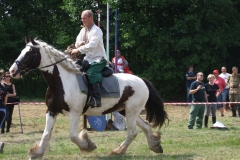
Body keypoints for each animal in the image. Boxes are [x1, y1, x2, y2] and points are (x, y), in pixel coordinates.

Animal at [9, 37, 169, 159]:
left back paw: (118, 151)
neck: (62, 81)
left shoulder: (74, 114)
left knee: (132, 132)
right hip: (125, 111)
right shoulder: (52, 111)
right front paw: (36, 153)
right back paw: (155, 146)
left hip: (131, 112)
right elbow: (46, 134)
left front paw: (88, 145)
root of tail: (142, 80)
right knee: (145, 126)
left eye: (29, 53)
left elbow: (73, 136)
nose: (12, 71)